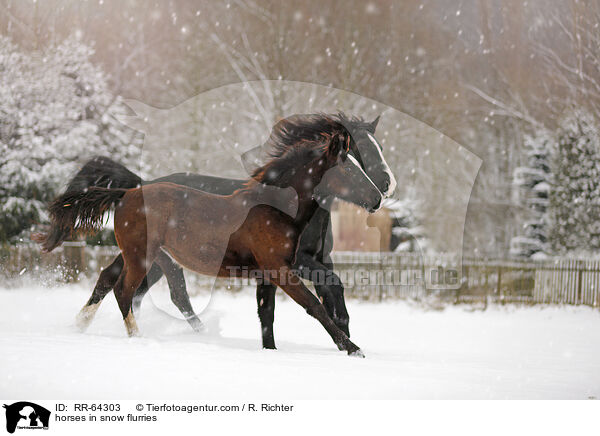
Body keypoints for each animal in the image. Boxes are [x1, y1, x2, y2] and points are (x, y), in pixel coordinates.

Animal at [35, 114, 396, 350]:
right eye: (348, 167)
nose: (380, 195)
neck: (273, 208)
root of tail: (128, 192)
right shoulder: (283, 269)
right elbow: (313, 305)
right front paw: (351, 347)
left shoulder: (269, 273)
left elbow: (268, 315)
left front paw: (272, 351)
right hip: (143, 257)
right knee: (129, 291)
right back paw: (140, 338)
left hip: (144, 257)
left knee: (114, 281)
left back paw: (82, 324)